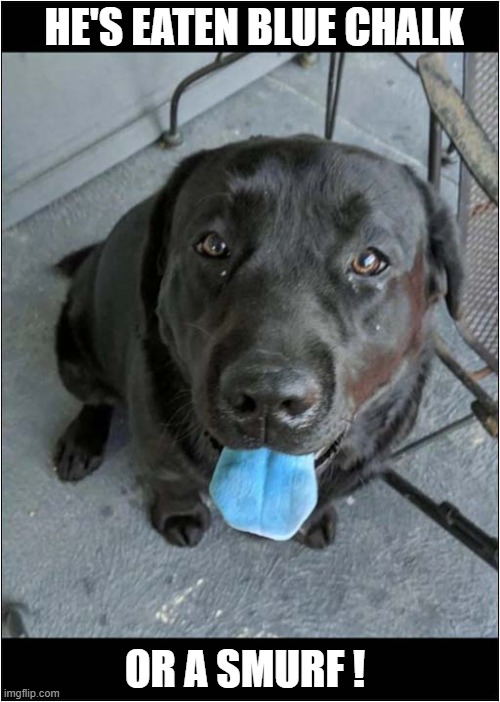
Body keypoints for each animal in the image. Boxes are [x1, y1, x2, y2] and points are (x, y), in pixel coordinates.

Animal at [52, 136, 462, 552]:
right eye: (214, 244)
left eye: (368, 260)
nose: (269, 397)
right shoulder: (157, 446)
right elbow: (172, 482)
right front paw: (179, 514)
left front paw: (314, 518)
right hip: (74, 354)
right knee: (95, 398)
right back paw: (82, 440)